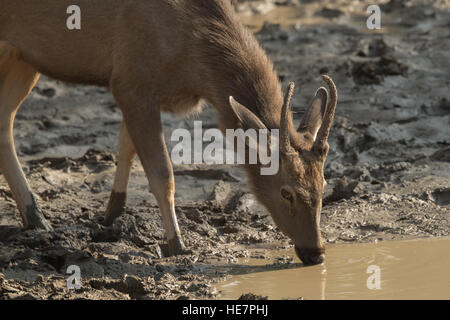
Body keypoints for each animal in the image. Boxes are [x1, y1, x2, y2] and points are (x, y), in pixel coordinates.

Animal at [0, 0, 336, 264]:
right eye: (286, 191)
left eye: (323, 184)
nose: (316, 253)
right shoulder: (131, 82)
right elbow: (163, 173)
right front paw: (177, 244)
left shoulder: (138, 92)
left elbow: (126, 146)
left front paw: (110, 216)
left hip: (23, 59)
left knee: (5, 120)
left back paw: (35, 218)